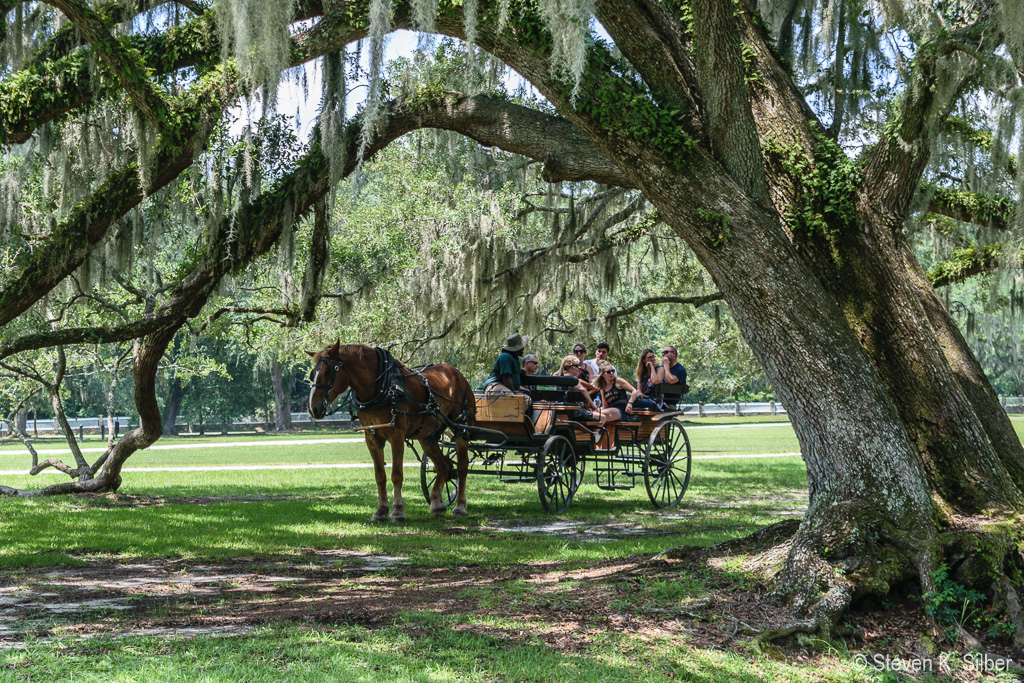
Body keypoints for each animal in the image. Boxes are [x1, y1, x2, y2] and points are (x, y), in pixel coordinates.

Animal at [305, 344, 477, 520]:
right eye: (313, 373)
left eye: (328, 371)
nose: (313, 408)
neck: (383, 388)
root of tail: (456, 372)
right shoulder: (372, 438)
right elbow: (380, 476)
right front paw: (381, 511)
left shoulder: (397, 437)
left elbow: (396, 475)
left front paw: (398, 511)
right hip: (427, 437)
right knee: (444, 466)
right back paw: (436, 504)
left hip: (461, 429)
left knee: (462, 467)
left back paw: (460, 507)